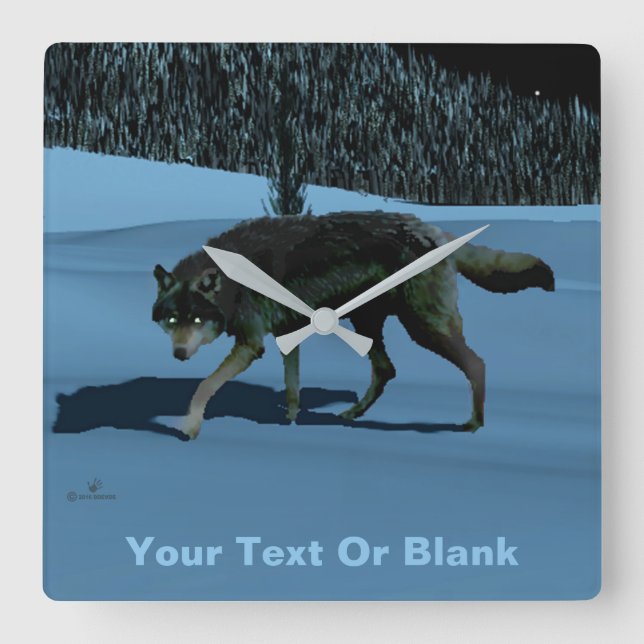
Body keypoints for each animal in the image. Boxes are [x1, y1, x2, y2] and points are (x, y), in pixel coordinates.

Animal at [152, 212, 554, 439]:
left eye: (197, 320)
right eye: (172, 320)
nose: (179, 354)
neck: (233, 281)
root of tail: (436, 230)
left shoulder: (252, 343)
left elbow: (204, 386)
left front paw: (190, 427)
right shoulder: (286, 332)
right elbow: (292, 387)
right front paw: (292, 421)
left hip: (422, 326)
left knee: (476, 364)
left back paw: (474, 424)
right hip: (367, 323)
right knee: (387, 370)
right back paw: (352, 414)